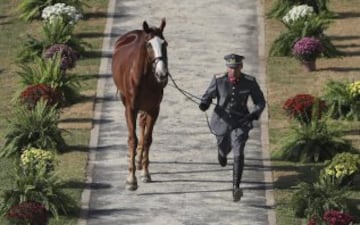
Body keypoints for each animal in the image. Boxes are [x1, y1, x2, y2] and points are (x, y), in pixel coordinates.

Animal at [112, 18, 169, 191]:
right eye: (148, 44)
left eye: (165, 44)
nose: (162, 74)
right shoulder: (131, 108)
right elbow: (132, 139)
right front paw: (131, 180)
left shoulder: (154, 109)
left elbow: (148, 139)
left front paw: (145, 173)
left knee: (143, 123)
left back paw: (138, 160)